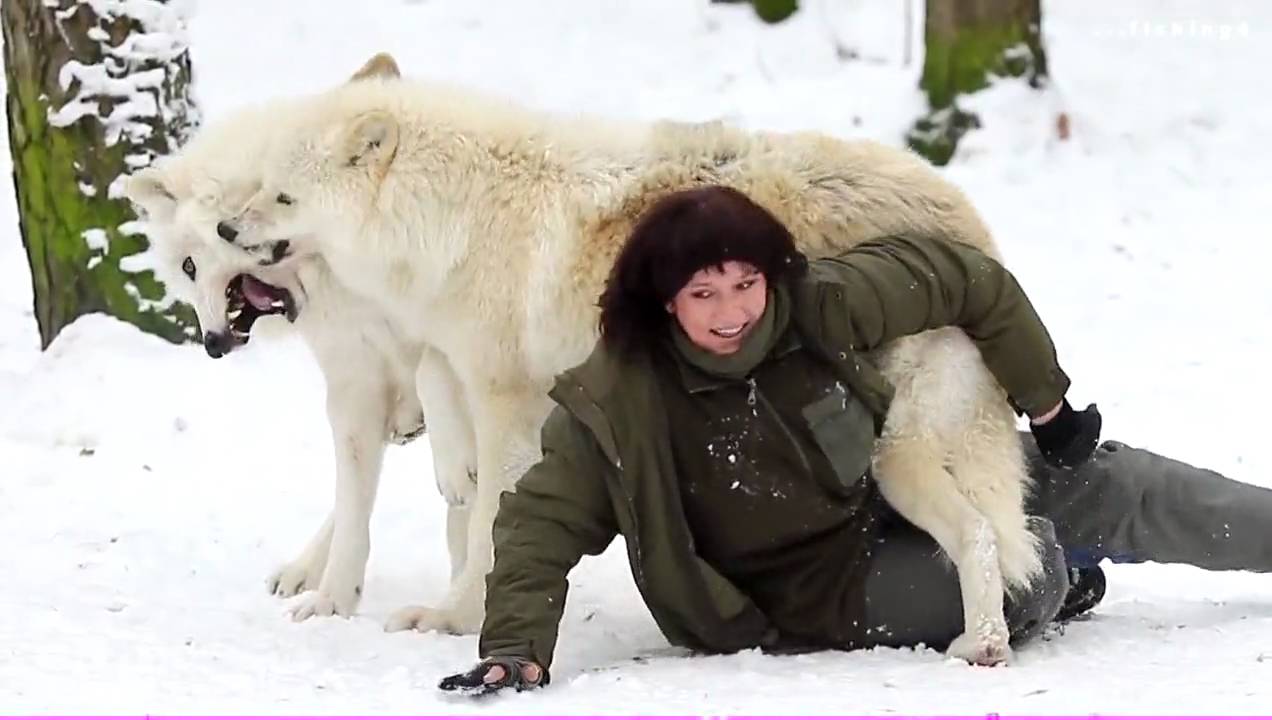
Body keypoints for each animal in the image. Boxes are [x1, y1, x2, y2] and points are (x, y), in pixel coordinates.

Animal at [123, 55, 480, 625]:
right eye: (186, 270)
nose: (213, 344)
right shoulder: (355, 383)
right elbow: (354, 502)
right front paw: (334, 600)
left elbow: (432, 368)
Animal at [181, 54, 1044, 664]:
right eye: (258, 187)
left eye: (283, 199)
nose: (226, 229)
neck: (452, 218)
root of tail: (971, 225)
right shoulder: (452, 361)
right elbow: (445, 441)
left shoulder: (507, 401)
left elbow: (489, 522)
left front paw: (455, 615)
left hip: (901, 456)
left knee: (982, 531)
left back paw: (980, 644)